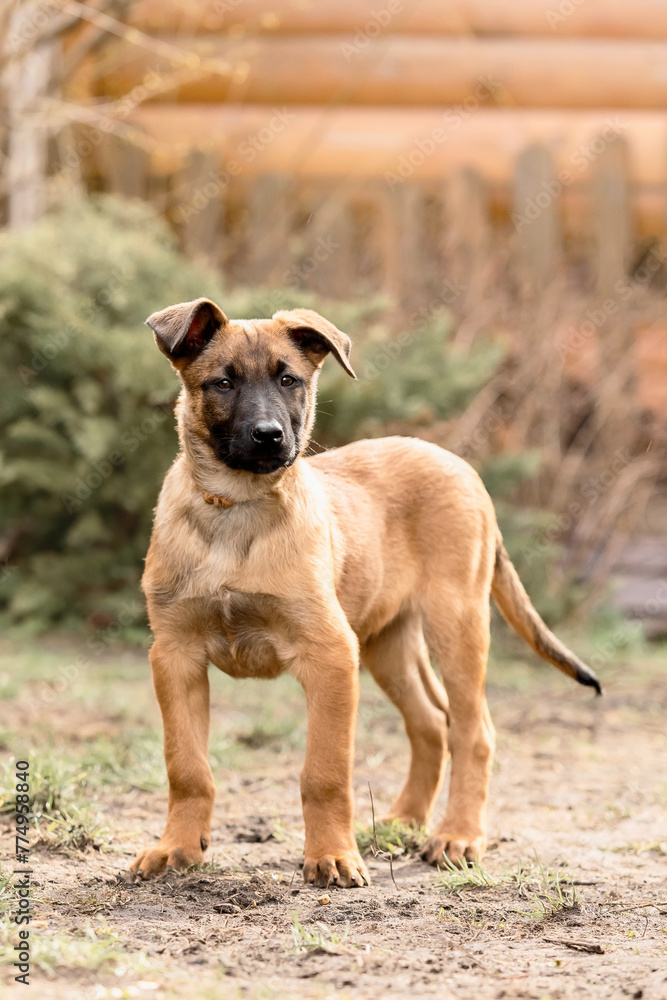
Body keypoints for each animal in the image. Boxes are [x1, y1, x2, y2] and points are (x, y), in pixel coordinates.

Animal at [129, 292, 600, 888]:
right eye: (223, 383)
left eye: (289, 379)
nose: (269, 435)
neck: (239, 508)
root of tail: (460, 465)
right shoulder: (176, 656)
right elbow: (186, 766)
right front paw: (177, 849)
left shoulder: (330, 654)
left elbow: (325, 772)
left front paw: (331, 856)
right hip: (387, 642)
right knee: (432, 722)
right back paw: (404, 821)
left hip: (456, 623)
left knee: (474, 731)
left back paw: (457, 836)